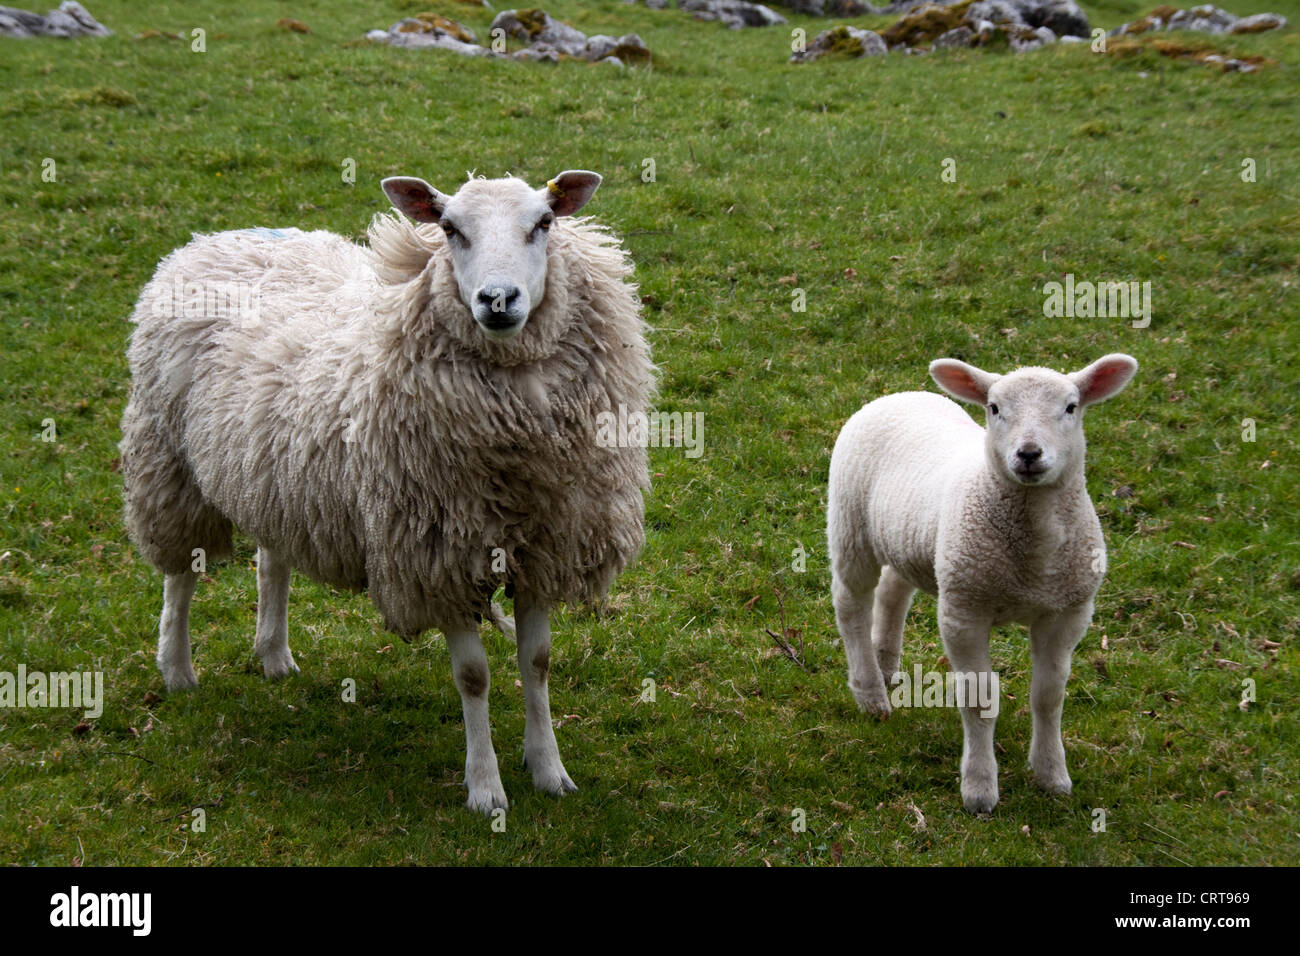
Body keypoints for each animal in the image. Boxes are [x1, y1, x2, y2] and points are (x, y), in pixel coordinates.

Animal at [119, 170, 655, 814]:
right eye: (449, 229)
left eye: (544, 223)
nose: (498, 300)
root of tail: (218, 237)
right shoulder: (434, 558)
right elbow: (474, 677)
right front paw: (486, 789)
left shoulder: (545, 547)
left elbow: (539, 662)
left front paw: (549, 770)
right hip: (168, 461)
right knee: (181, 573)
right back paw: (177, 670)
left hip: (275, 475)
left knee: (271, 561)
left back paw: (273, 656)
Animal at [826, 354, 1137, 812]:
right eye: (994, 407)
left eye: (1070, 407)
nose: (1029, 454)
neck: (1035, 556)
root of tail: (898, 395)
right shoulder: (964, 611)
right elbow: (979, 699)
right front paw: (979, 788)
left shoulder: (1068, 613)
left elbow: (1048, 697)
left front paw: (1051, 775)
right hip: (850, 526)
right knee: (851, 603)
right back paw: (870, 693)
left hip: (914, 542)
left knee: (892, 590)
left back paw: (885, 667)